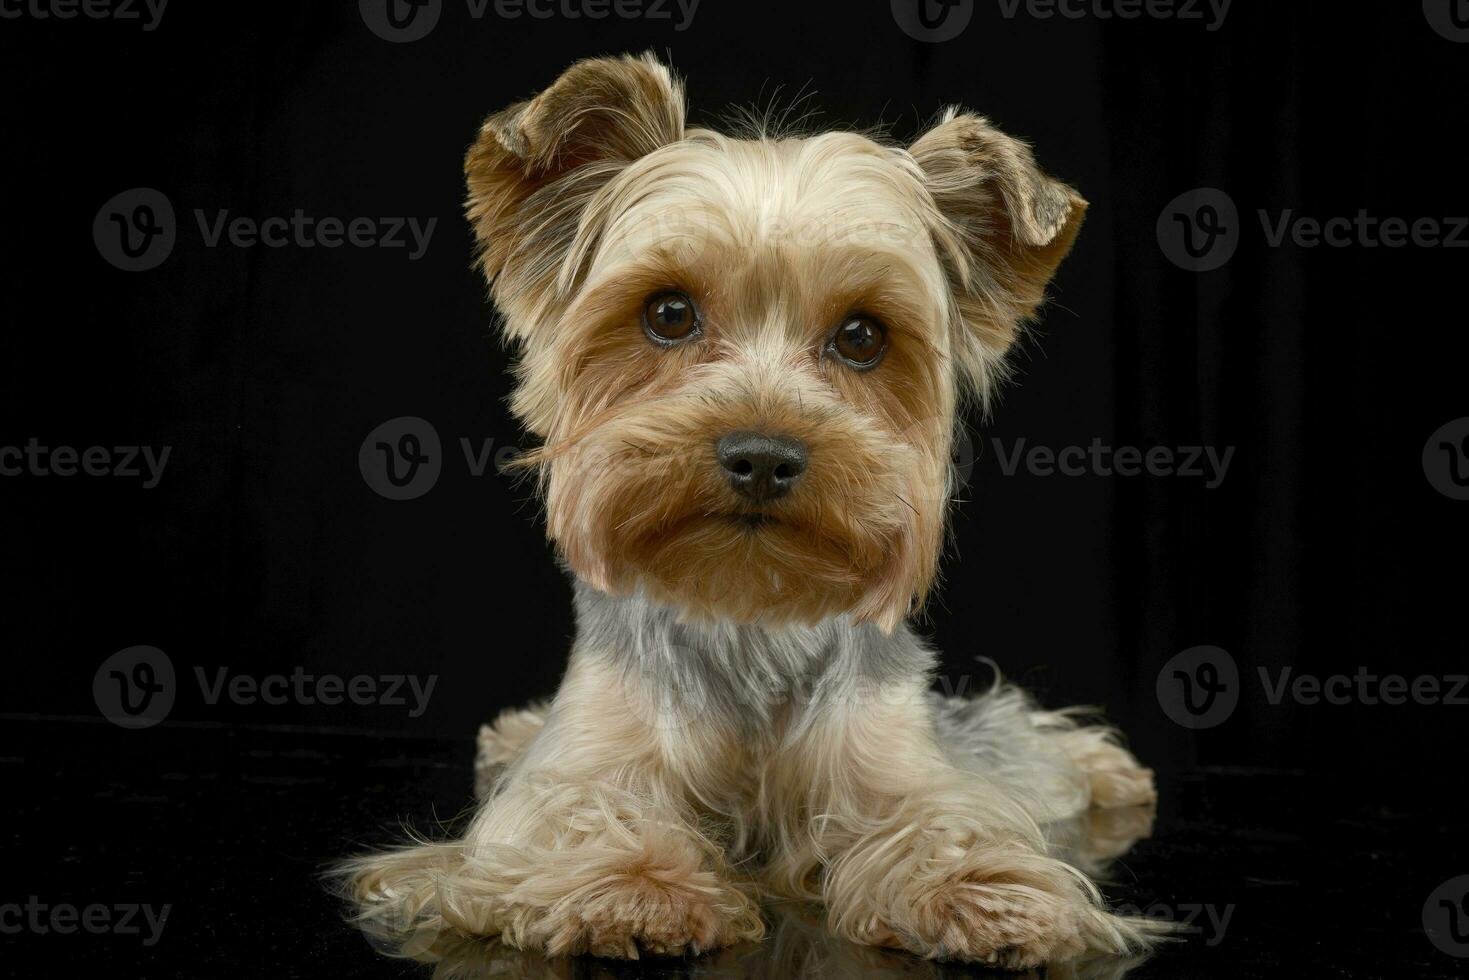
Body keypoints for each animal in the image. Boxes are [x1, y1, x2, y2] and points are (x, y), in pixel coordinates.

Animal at [340, 51, 1157, 963]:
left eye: (862, 336)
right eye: (668, 313)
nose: (762, 455)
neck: (746, 611)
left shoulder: (897, 761)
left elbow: (942, 817)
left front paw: (984, 891)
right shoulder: (575, 770)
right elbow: (571, 813)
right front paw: (634, 887)